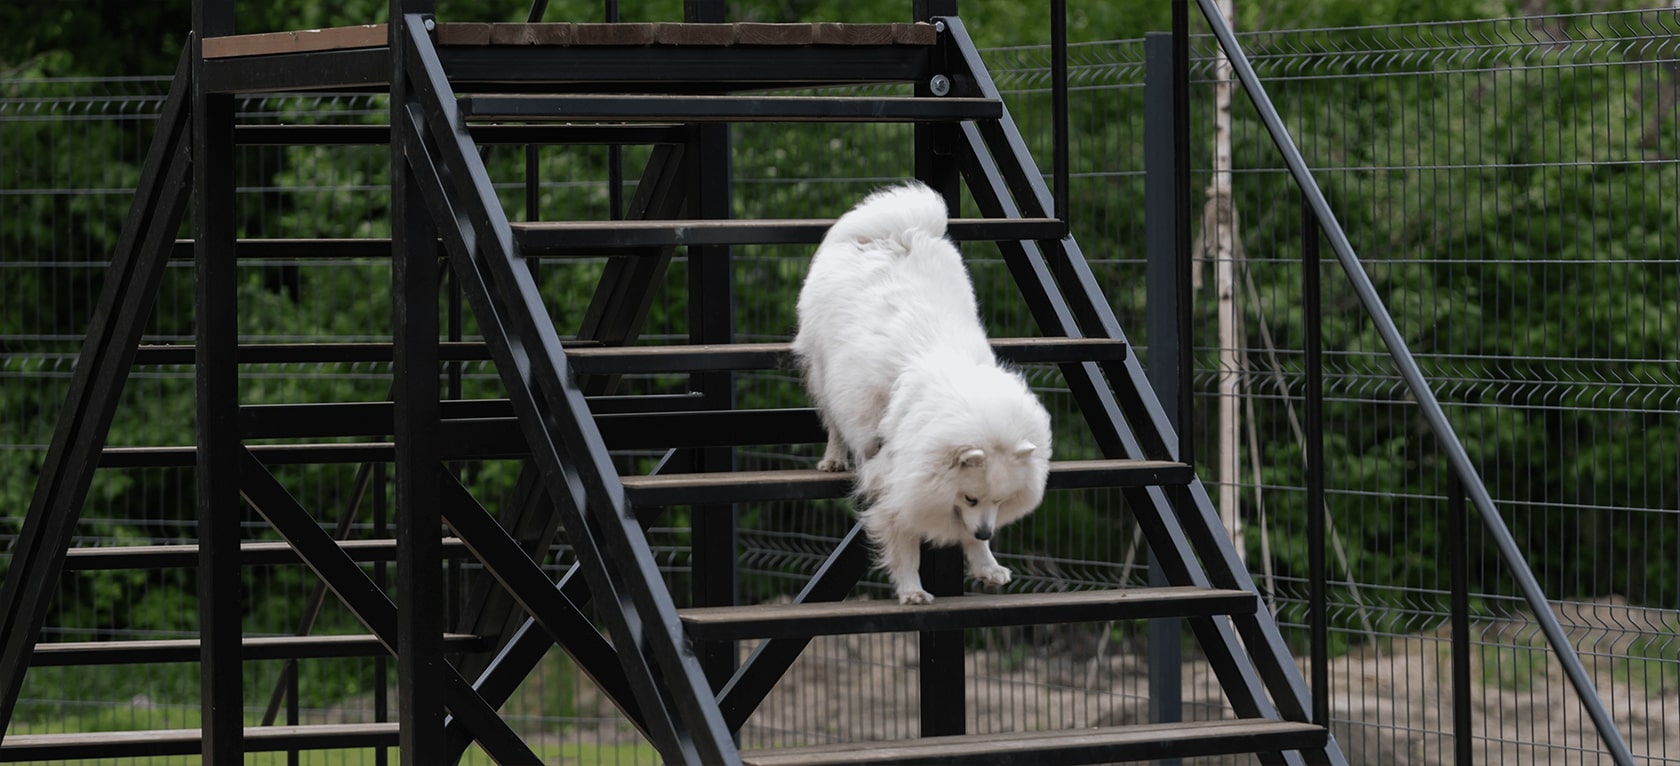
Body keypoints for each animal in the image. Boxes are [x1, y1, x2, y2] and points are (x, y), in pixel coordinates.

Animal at [789, 181, 1048, 604]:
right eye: (972, 497)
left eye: (1000, 501)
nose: (987, 530)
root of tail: (892, 233)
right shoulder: (896, 483)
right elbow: (904, 541)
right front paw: (911, 591)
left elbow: (965, 536)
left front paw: (986, 565)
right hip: (824, 370)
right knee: (833, 421)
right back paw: (834, 459)